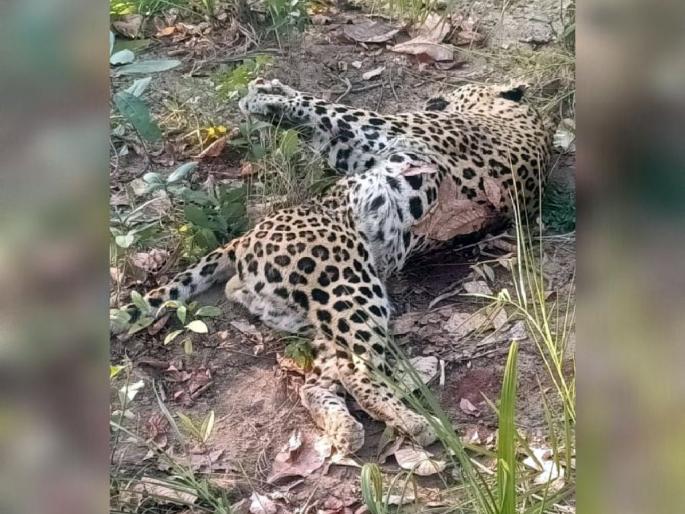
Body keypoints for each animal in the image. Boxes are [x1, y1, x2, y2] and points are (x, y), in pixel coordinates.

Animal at [116, 77, 553, 454]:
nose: (433, 98)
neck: (522, 119)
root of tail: (243, 243)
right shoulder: (361, 149)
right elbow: (320, 125)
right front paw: (268, 94)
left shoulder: (389, 128)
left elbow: (328, 108)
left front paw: (263, 96)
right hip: (323, 312)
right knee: (322, 379)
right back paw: (346, 429)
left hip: (345, 287)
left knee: (355, 372)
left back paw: (412, 422)